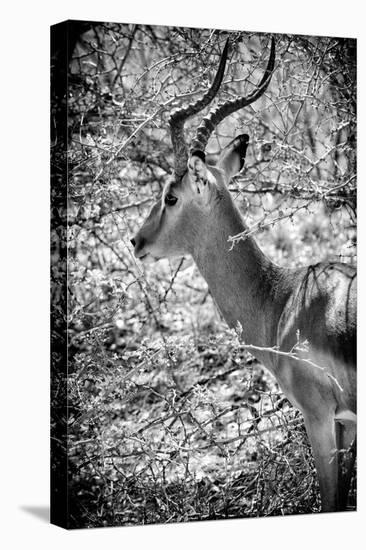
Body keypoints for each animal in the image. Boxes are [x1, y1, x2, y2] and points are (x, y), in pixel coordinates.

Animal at [130, 37, 356, 512]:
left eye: (171, 196)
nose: (136, 241)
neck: (282, 300)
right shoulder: (348, 426)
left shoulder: (321, 419)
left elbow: (331, 499)